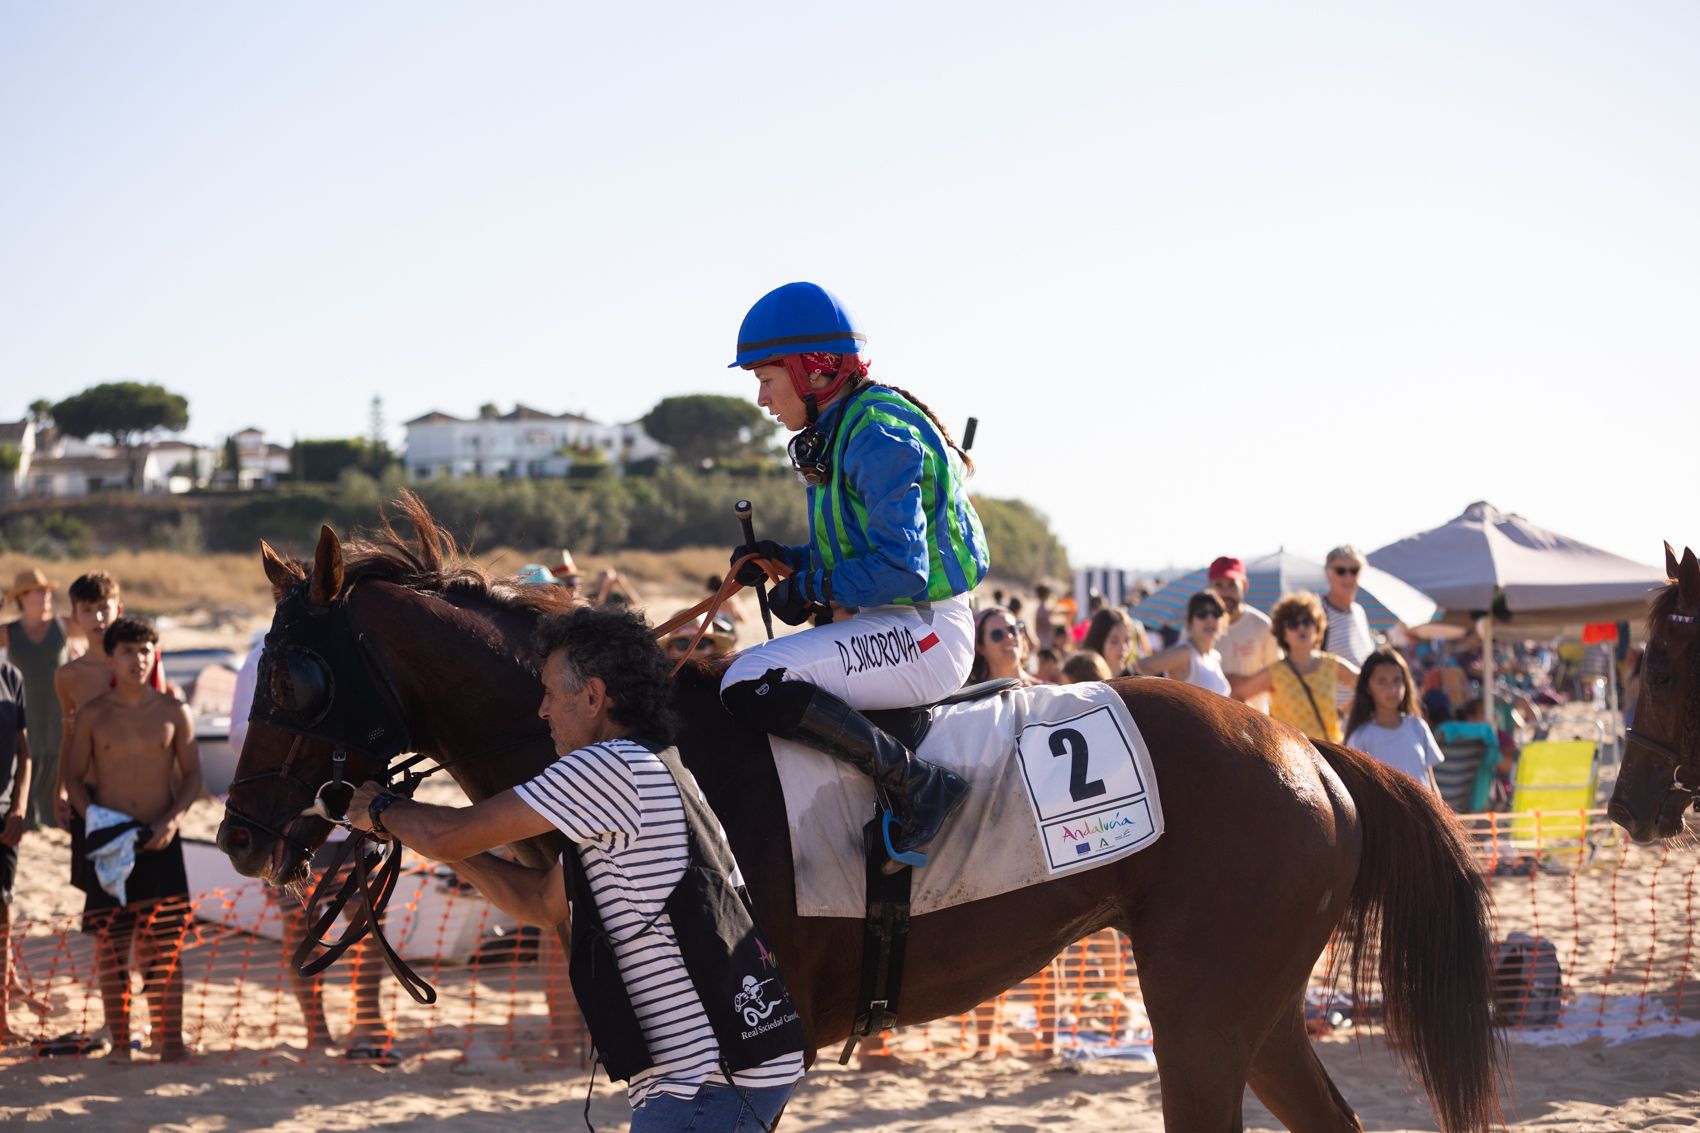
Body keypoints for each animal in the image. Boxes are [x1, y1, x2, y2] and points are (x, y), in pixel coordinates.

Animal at [216, 495, 1500, 1132]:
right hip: (1253, 1008)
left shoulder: (751, 1050)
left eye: (295, 676)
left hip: (1199, 1014)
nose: (238, 835)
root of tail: (1307, 749)